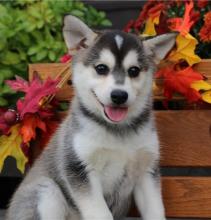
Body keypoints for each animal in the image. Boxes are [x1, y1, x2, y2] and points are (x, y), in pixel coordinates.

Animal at [6, 15, 176, 220]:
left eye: (134, 71)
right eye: (101, 68)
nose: (119, 95)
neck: (118, 131)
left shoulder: (147, 170)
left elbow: (155, 211)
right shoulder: (79, 168)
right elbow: (101, 213)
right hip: (46, 191)